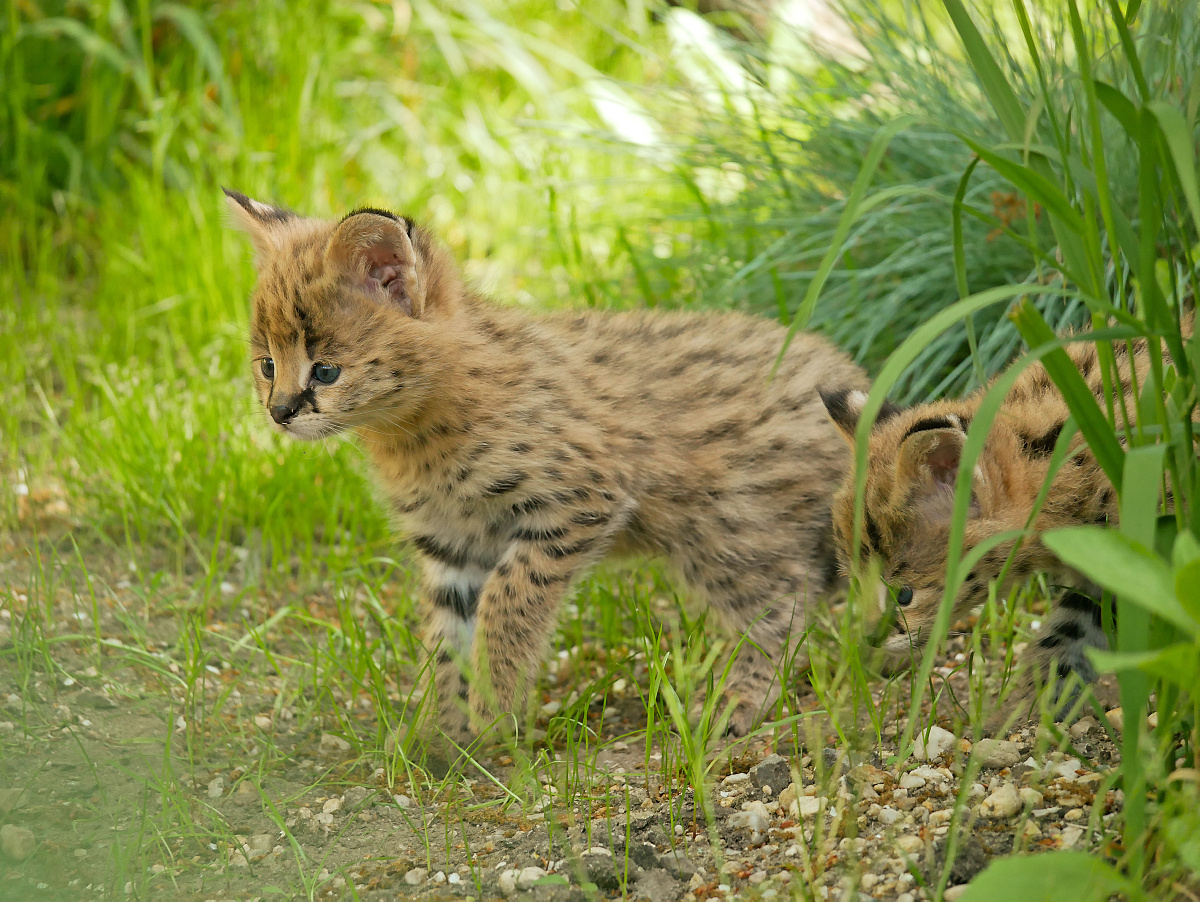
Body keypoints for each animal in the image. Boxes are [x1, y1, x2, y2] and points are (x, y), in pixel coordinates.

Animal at [225, 188, 868, 738]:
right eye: (266, 365)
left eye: (326, 370)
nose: (279, 413)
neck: (411, 431)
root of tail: (850, 371)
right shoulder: (451, 543)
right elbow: (446, 634)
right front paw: (440, 732)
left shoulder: (580, 499)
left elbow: (509, 601)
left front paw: (493, 708)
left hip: (726, 530)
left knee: (785, 599)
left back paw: (738, 698)